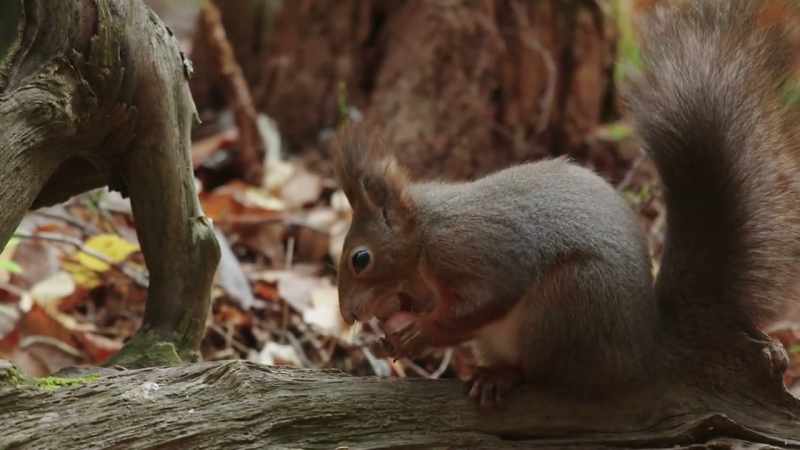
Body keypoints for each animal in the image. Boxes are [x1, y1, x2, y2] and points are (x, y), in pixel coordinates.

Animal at [333, 0, 800, 407]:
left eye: (360, 258)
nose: (349, 315)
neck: (423, 238)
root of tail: (643, 352)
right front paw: (394, 324)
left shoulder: (471, 248)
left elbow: (485, 300)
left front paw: (419, 333)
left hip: (568, 301)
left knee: (547, 373)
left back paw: (503, 376)